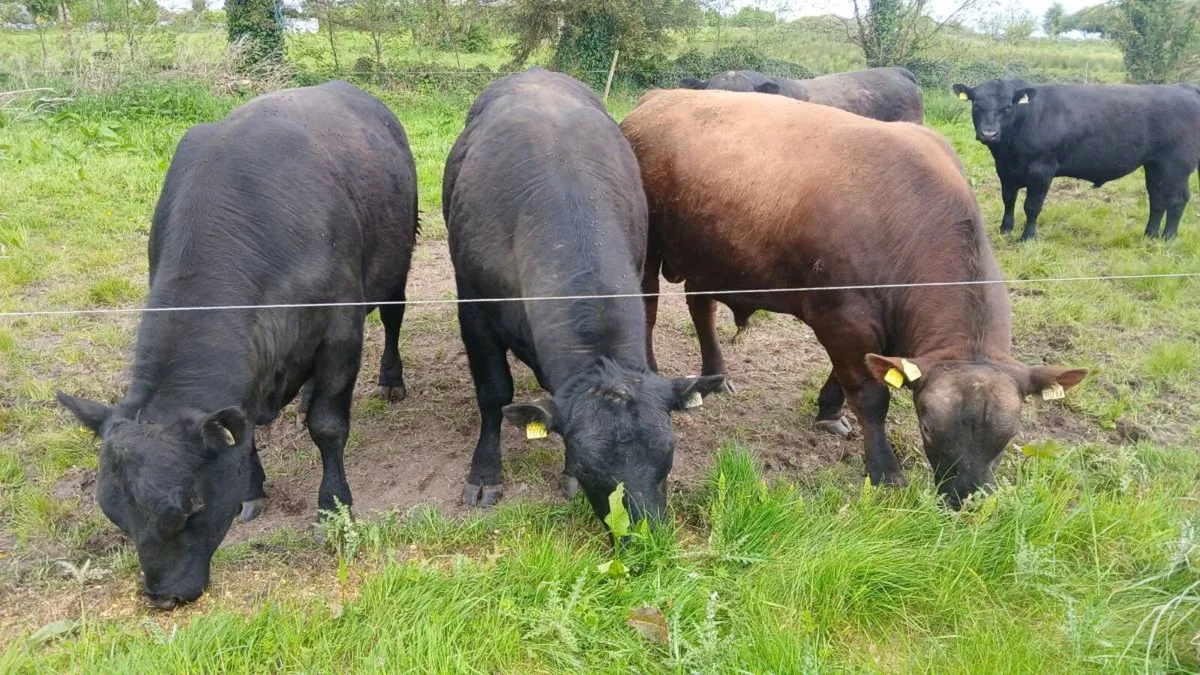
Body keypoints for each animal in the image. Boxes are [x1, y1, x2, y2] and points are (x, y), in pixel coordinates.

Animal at [56, 81, 418, 609]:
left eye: (191, 509)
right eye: (114, 514)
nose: (163, 596)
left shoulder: (340, 330)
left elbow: (328, 426)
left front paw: (333, 506)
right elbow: (242, 432)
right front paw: (251, 490)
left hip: (394, 264)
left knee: (393, 316)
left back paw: (391, 380)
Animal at [442, 68, 727, 528]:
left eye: (668, 455)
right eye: (589, 464)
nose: (644, 534)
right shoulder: (474, 309)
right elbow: (494, 393)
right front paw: (485, 474)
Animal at [622, 89, 1087, 509]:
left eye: (1008, 437)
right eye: (927, 428)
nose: (967, 499)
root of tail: (658, 99)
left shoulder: (865, 326)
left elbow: (845, 375)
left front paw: (828, 409)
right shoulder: (843, 318)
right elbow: (869, 395)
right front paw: (884, 469)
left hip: (711, 258)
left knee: (701, 307)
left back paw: (716, 374)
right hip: (651, 251)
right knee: (647, 307)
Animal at [952, 78, 1200, 240]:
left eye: (1007, 106)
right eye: (976, 104)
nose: (989, 134)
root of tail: (1184, 88)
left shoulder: (1041, 171)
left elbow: (1032, 206)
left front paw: (1027, 237)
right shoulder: (1005, 170)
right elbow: (1009, 199)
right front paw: (1005, 229)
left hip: (1178, 165)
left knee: (1177, 200)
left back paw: (1168, 238)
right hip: (1155, 165)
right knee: (1157, 199)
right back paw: (1149, 235)